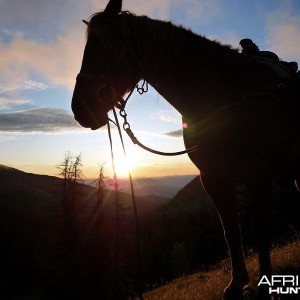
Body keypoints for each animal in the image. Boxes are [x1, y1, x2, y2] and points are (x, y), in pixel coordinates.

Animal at [72, 0, 300, 298]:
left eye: (103, 47)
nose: (79, 109)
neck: (224, 95)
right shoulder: (213, 178)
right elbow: (231, 231)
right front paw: (236, 283)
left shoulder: (257, 176)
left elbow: (260, 232)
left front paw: (263, 288)